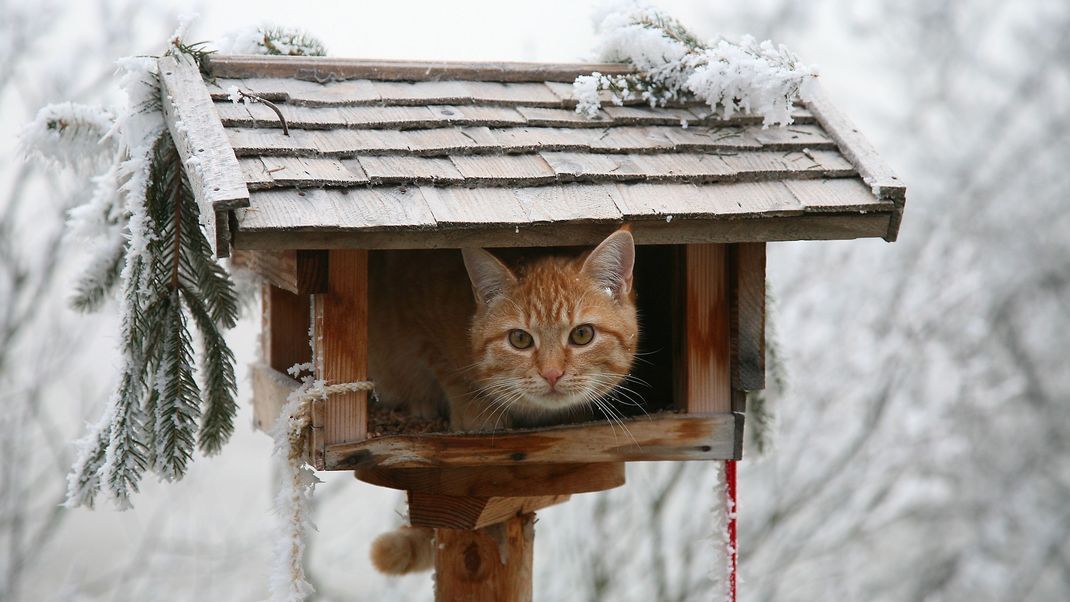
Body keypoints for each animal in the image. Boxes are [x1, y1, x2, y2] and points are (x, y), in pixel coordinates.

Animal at [370, 227, 633, 573]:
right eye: (519, 339)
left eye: (582, 335)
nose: (552, 374)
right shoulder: (415, 311)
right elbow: (449, 374)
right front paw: (476, 416)